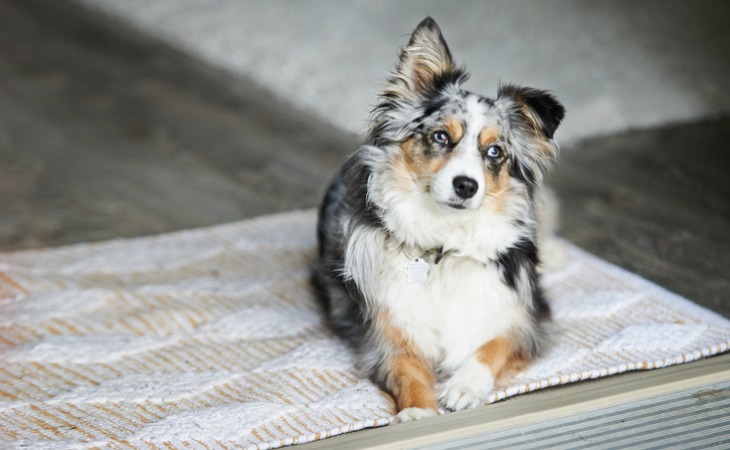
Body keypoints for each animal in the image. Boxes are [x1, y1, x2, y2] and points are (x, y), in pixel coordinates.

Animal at [312, 14, 564, 422]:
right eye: (441, 137)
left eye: (494, 151)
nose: (466, 186)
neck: (445, 244)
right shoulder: (386, 330)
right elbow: (407, 370)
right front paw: (418, 413)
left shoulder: (527, 317)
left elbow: (494, 345)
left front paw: (464, 385)